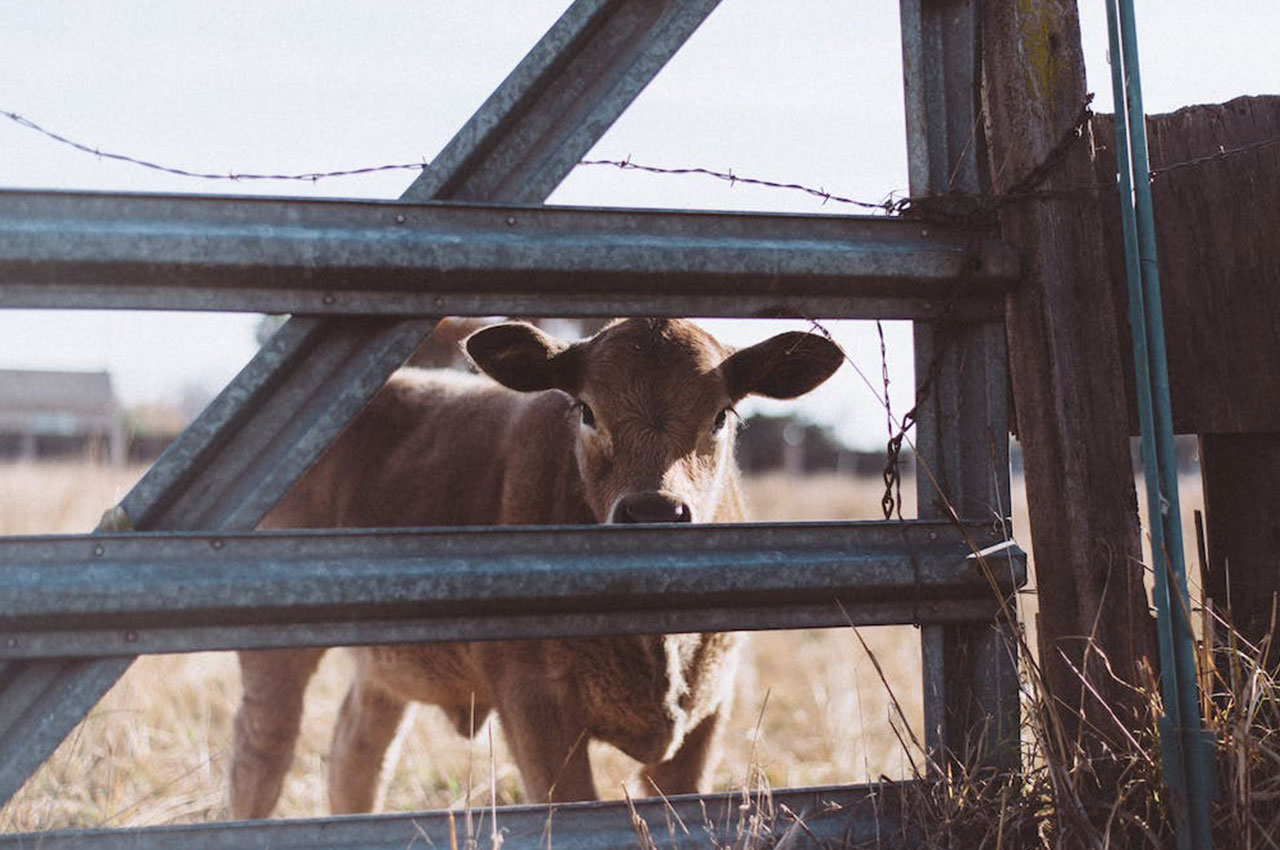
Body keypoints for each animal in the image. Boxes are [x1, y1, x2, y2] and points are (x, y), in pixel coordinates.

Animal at [230, 317, 849, 819]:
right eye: (588, 410)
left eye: (720, 415)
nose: (654, 512)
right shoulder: (533, 706)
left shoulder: (706, 713)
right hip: (275, 657)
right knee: (261, 758)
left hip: (386, 670)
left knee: (355, 756)